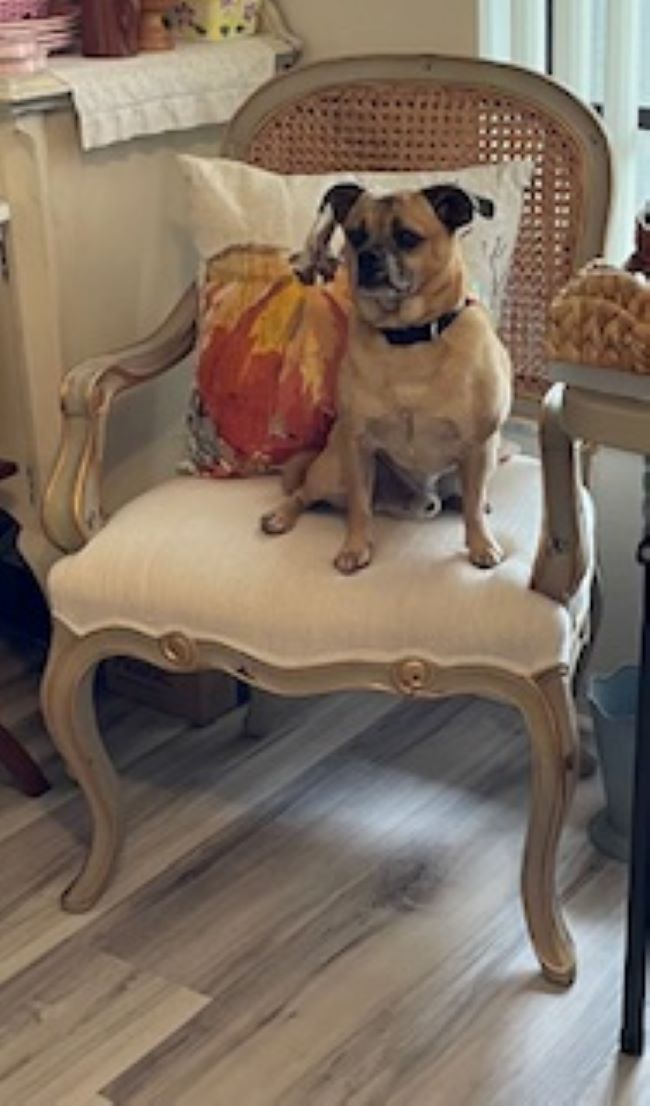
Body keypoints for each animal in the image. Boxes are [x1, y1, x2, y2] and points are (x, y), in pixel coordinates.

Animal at [259, 182, 512, 575]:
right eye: (355, 235)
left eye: (407, 237)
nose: (367, 257)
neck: (408, 337)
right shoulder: (358, 445)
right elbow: (359, 507)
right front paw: (355, 547)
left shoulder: (479, 446)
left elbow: (473, 507)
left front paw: (481, 544)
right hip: (333, 470)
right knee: (304, 493)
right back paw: (281, 516)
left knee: (468, 496)